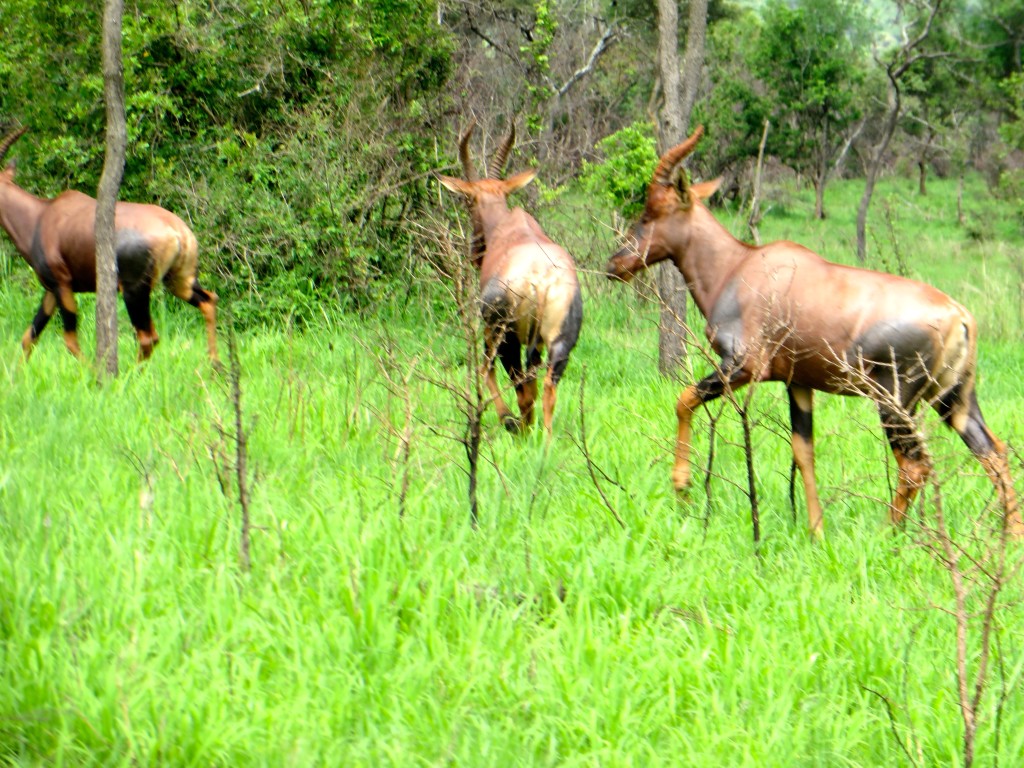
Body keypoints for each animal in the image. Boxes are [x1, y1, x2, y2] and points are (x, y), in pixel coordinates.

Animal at [0, 125, 218, 364]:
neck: (41, 216)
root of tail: (177, 231)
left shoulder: (62, 284)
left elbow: (70, 341)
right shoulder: (52, 289)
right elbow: (29, 337)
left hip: (134, 291)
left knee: (148, 337)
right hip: (179, 281)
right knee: (208, 301)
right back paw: (215, 365)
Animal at [438, 120, 585, 434]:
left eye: (468, 201)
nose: (475, 253)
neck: (509, 228)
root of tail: (541, 281)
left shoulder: (490, 328)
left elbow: (485, 370)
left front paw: (506, 419)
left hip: (505, 335)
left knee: (519, 387)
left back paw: (518, 427)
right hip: (560, 341)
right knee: (545, 387)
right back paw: (544, 440)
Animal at [606, 126, 1024, 536]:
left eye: (651, 211)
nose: (615, 264)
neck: (739, 266)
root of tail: (960, 314)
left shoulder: (744, 366)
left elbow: (683, 399)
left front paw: (682, 486)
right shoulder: (798, 382)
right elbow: (803, 452)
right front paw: (816, 532)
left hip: (896, 400)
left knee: (915, 466)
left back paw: (888, 537)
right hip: (954, 399)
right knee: (995, 454)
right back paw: (1010, 537)